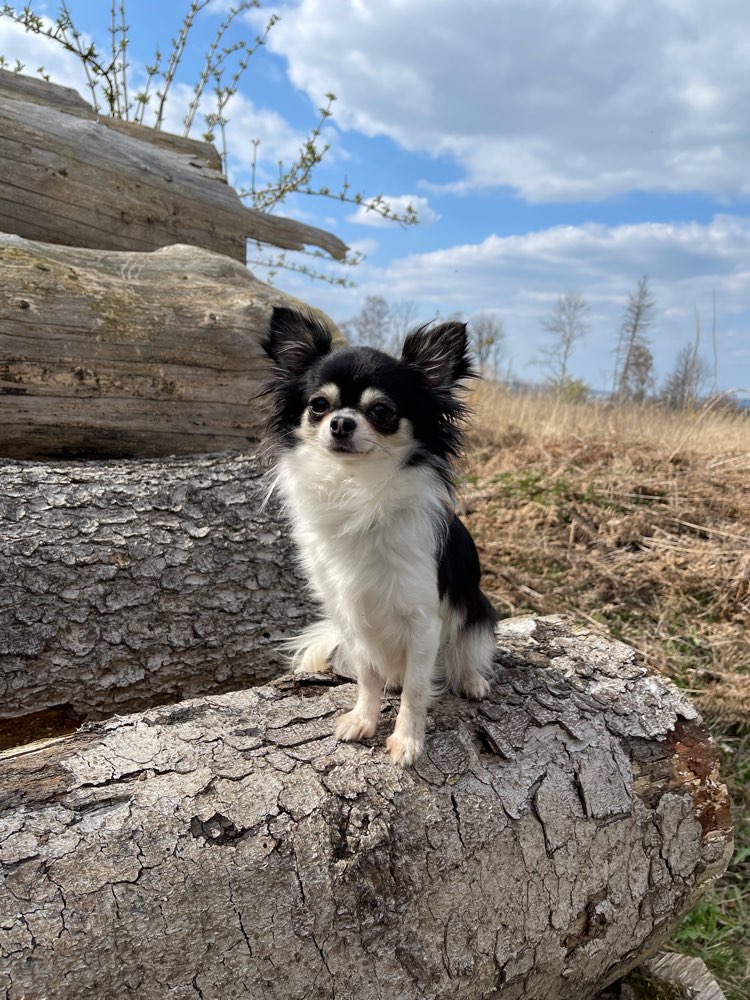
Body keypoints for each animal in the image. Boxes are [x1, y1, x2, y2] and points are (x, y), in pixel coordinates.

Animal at [262, 304, 496, 764]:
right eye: (318, 405)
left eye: (382, 412)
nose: (340, 423)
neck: (359, 487)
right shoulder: (350, 614)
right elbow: (367, 675)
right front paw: (363, 719)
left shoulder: (423, 622)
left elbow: (417, 689)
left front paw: (408, 740)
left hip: (478, 610)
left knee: (464, 652)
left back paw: (471, 679)